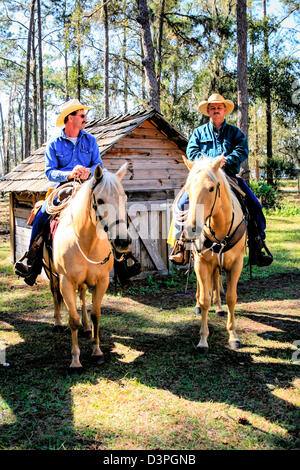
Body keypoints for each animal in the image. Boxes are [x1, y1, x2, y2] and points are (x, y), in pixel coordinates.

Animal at [43, 163, 131, 372]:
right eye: (100, 200)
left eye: (124, 198)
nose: (123, 241)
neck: (87, 243)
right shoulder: (66, 282)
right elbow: (72, 319)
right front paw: (75, 360)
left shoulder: (101, 281)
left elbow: (96, 314)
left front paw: (97, 351)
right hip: (51, 273)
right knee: (55, 295)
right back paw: (57, 322)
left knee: (82, 296)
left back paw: (86, 327)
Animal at [180, 155, 246, 352]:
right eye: (188, 188)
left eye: (211, 188)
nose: (191, 229)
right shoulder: (202, 263)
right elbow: (204, 299)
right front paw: (203, 339)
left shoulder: (236, 264)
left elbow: (231, 298)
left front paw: (233, 336)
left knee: (216, 280)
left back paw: (219, 307)